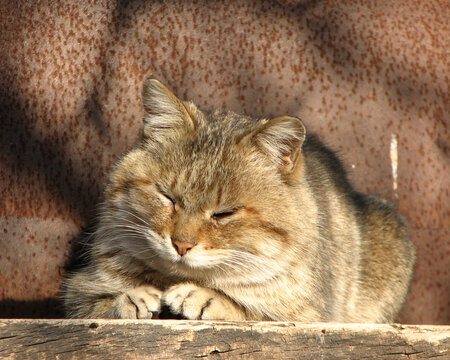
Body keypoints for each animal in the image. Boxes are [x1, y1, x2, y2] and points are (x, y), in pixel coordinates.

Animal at [62, 76, 414, 324]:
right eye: (168, 197)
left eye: (224, 214)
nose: (181, 244)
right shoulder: (78, 290)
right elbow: (96, 304)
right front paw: (131, 299)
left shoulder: (311, 316)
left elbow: (250, 310)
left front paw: (204, 297)